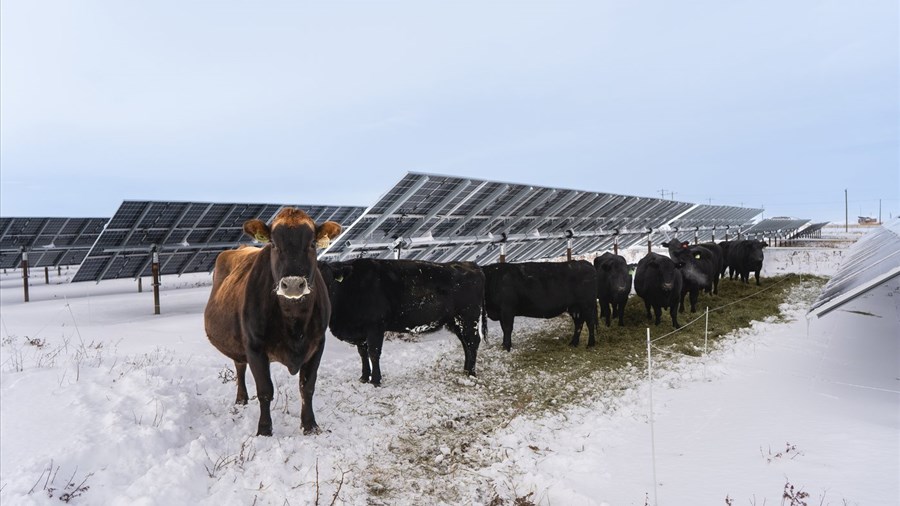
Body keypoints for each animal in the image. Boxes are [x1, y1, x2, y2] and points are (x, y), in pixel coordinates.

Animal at [204, 208, 342, 436]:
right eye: (274, 244)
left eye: (312, 243)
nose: (293, 284)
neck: (294, 318)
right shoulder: (254, 346)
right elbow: (265, 390)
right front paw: (264, 430)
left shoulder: (318, 343)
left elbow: (307, 387)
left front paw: (310, 425)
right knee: (239, 367)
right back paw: (241, 399)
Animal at [318, 258, 482, 386]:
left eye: (330, 281)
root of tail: (469, 264)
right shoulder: (360, 330)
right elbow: (363, 354)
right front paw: (364, 378)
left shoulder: (375, 326)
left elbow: (373, 353)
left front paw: (375, 380)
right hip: (456, 321)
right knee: (465, 343)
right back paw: (465, 369)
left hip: (468, 318)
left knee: (472, 342)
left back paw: (471, 373)